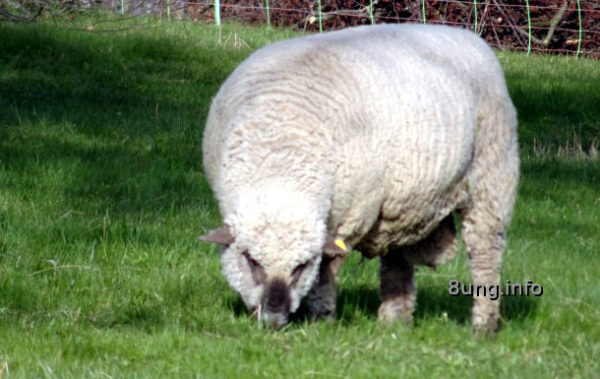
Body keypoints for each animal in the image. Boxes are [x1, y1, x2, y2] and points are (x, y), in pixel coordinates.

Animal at [199, 23, 516, 336]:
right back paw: (394, 321)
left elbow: (327, 269)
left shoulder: (346, 220)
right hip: (401, 204)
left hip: (492, 180)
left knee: (485, 253)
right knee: (397, 260)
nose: (274, 319)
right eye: (252, 260)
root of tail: (467, 35)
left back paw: (483, 327)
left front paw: (321, 320)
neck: (280, 164)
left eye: (301, 266)